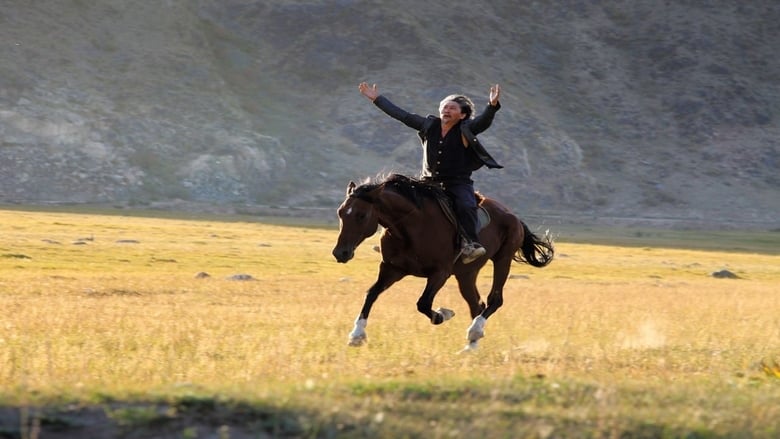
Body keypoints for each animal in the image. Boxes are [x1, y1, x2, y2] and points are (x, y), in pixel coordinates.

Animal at [330, 175, 556, 350]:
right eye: (340, 212)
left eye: (361, 215)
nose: (340, 253)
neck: (411, 226)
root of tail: (513, 216)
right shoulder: (393, 269)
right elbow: (372, 294)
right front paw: (356, 335)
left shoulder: (440, 273)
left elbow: (423, 303)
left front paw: (443, 314)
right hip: (466, 274)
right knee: (477, 304)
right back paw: (471, 345)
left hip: (503, 260)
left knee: (494, 300)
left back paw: (475, 330)